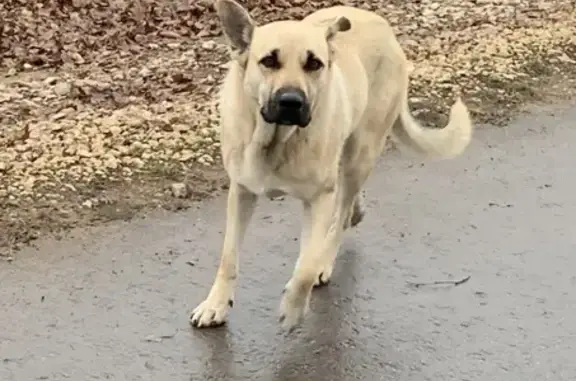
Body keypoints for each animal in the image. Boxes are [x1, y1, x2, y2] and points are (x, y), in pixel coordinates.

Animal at [189, 0, 472, 330]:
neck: (278, 140)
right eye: (269, 60)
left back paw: (328, 253)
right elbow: (229, 257)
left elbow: (306, 266)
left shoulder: (319, 197)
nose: (291, 101)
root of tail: (384, 27)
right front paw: (216, 305)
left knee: (342, 211)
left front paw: (294, 305)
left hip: (359, 155)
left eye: (314, 64)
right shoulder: (242, 192)